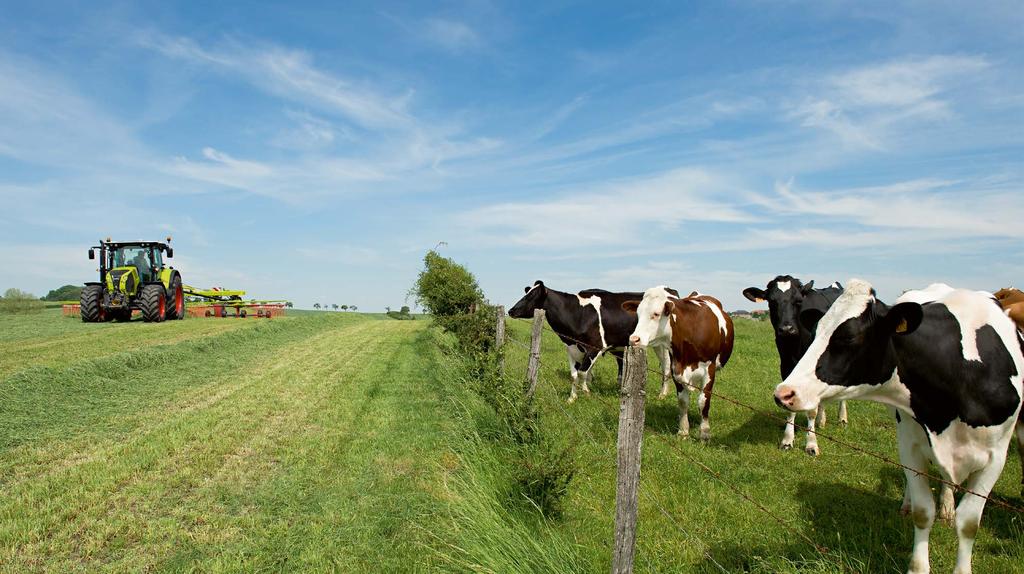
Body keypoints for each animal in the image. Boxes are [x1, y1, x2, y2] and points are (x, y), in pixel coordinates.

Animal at [507, 280, 675, 401]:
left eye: (530, 296)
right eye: (526, 293)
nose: (511, 310)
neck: (578, 313)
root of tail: (668, 289)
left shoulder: (595, 347)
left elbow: (582, 373)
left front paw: (586, 392)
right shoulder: (571, 348)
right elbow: (574, 374)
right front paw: (572, 398)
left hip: (662, 345)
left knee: (666, 367)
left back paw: (662, 394)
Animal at [618, 286, 733, 437]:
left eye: (656, 314)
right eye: (638, 313)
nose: (634, 339)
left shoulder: (709, 368)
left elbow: (704, 401)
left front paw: (704, 432)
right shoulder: (676, 368)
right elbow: (683, 401)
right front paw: (683, 430)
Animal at [745, 276, 847, 454]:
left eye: (799, 301)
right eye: (771, 301)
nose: (787, 329)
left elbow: (811, 411)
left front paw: (811, 444)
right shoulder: (786, 366)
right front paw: (787, 441)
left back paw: (842, 418)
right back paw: (821, 420)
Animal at [770, 282, 1019, 572]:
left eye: (848, 337)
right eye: (816, 331)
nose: (784, 392)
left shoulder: (996, 458)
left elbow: (968, 523)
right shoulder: (910, 445)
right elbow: (923, 512)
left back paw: (946, 506)